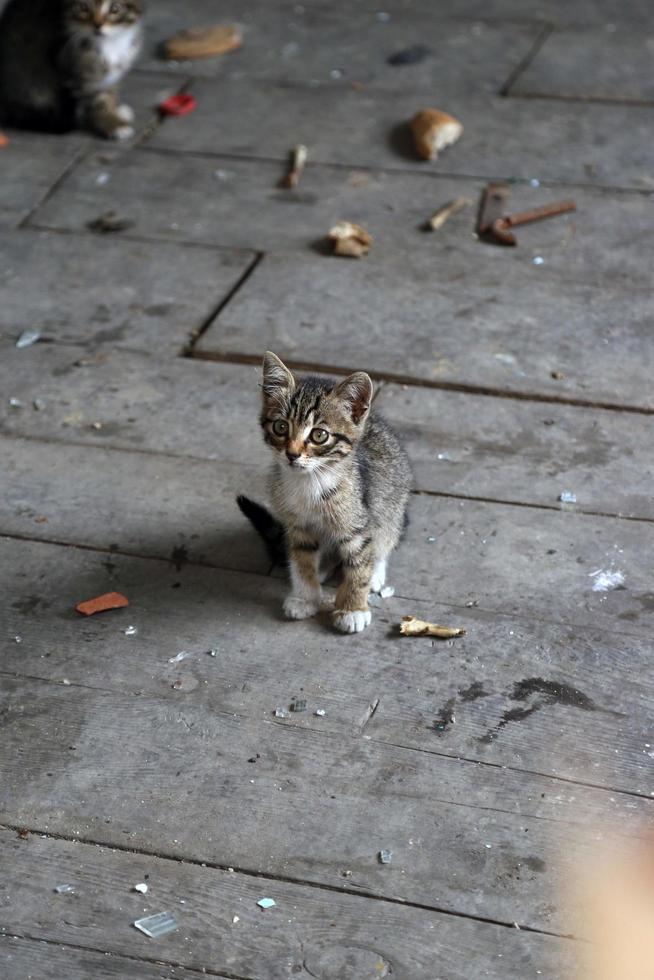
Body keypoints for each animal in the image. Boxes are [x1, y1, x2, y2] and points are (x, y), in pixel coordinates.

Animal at [0, 0, 143, 138]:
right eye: (83, 7)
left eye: (115, 8)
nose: (98, 25)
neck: (111, 43)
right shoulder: (75, 70)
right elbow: (96, 100)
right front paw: (112, 124)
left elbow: (109, 90)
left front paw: (115, 112)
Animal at [238, 352, 412, 636]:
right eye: (280, 427)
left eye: (319, 435)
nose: (292, 454)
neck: (310, 482)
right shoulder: (298, 527)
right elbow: (302, 560)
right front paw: (305, 596)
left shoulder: (358, 525)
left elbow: (358, 566)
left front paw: (353, 609)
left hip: (392, 508)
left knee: (385, 538)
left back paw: (376, 572)